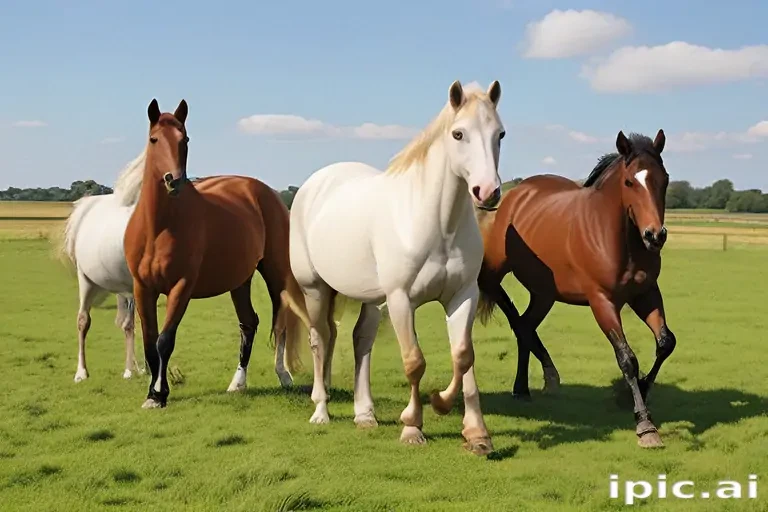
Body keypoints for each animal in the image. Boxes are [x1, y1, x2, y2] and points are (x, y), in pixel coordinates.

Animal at [123, 99, 310, 409]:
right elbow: (150, 342)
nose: (174, 181)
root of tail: (264, 192)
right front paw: (152, 394)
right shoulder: (142, 288)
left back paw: (283, 374)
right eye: (154, 139)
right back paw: (238, 383)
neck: (159, 228)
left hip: (276, 272)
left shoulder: (181, 287)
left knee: (281, 321)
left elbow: (165, 340)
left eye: (185, 139)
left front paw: (160, 394)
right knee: (249, 323)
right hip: (240, 281)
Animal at [289, 80, 505, 455]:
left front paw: (470, 427)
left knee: (360, 341)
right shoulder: (402, 299)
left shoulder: (463, 296)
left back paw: (365, 414)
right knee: (321, 340)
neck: (437, 224)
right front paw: (412, 427)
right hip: (315, 289)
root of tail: (315, 184)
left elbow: (464, 356)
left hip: (370, 298)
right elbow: (414, 362)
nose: (487, 192)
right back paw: (321, 411)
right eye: (458, 134)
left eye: (500, 134)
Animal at [475, 130, 673, 448]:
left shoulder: (646, 294)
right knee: (516, 320)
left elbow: (666, 343)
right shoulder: (602, 301)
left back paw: (524, 388)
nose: (654, 235)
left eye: (664, 178)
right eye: (629, 182)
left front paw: (637, 391)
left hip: (544, 294)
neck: (618, 239)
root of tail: (515, 195)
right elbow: (627, 358)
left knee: (525, 326)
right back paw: (543, 377)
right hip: (494, 275)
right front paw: (645, 425)